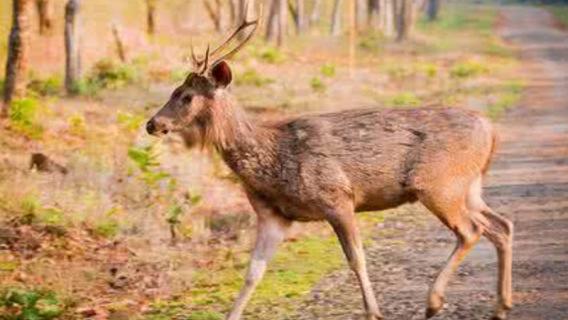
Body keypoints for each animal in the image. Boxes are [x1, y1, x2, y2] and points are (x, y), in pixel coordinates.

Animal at [144, 13, 512, 320]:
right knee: (501, 225)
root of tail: (492, 130)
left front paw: (374, 312)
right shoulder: (273, 214)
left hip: (438, 184)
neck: (270, 160)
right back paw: (501, 305)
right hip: (468, 185)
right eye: (175, 90)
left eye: (186, 96)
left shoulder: (337, 197)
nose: (152, 124)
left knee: (471, 230)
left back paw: (434, 303)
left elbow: (356, 258)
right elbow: (253, 272)